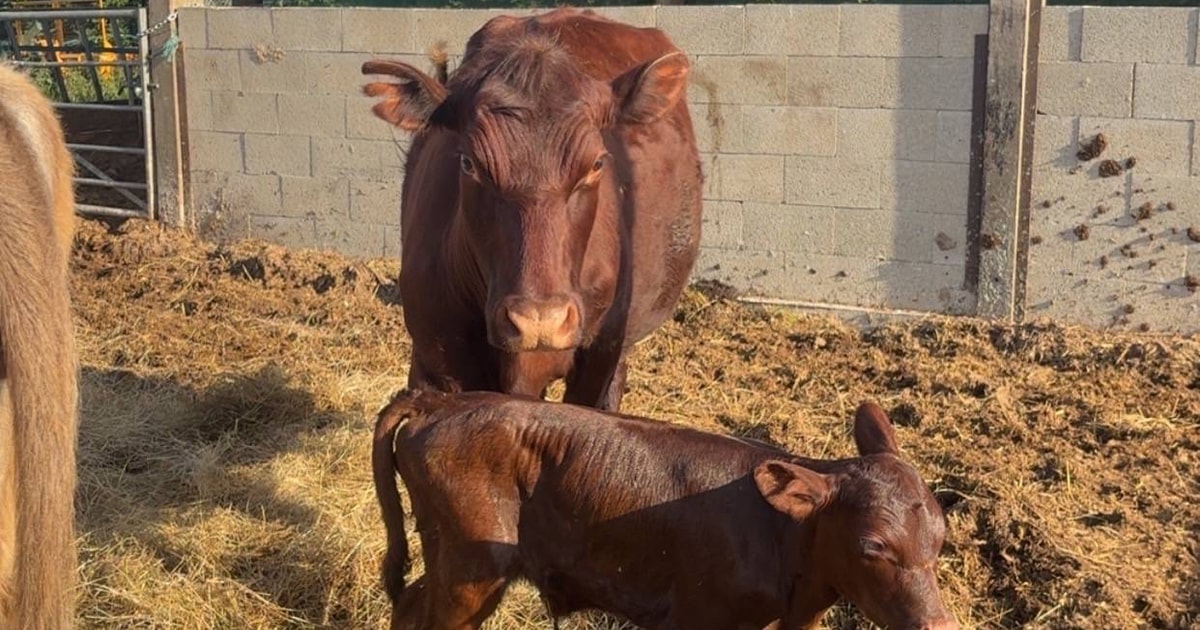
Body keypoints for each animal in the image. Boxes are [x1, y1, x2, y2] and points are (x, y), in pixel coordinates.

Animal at [372, 389, 960, 630]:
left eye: (939, 540)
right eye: (873, 546)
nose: (939, 626)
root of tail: (440, 401)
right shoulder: (693, 617)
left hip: (451, 559)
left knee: (411, 604)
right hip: (473, 565)